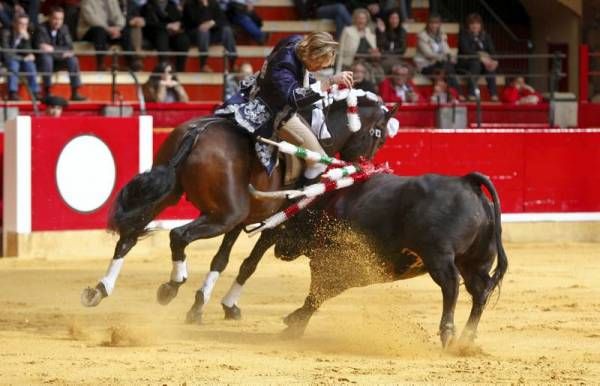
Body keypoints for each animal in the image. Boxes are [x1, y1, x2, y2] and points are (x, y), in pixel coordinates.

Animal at [79, 89, 398, 322]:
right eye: (380, 136)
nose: (364, 167)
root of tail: (197, 132)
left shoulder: (243, 221)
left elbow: (221, 260)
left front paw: (201, 305)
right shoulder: (274, 223)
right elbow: (249, 264)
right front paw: (224, 304)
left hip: (172, 195)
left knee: (130, 235)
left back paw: (100, 290)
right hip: (223, 215)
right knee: (177, 235)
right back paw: (171, 286)